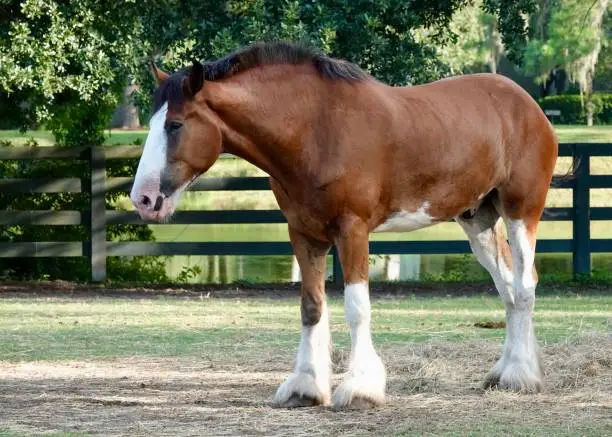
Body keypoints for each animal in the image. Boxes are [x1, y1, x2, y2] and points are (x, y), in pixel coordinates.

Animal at [130, 42, 560, 408]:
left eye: (175, 125)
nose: (144, 199)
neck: (314, 129)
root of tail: (528, 105)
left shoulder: (352, 231)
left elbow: (357, 308)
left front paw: (360, 388)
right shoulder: (304, 234)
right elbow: (311, 306)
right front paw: (304, 387)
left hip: (521, 210)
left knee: (524, 285)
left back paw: (521, 377)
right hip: (478, 219)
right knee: (507, 287)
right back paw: (505, 372)